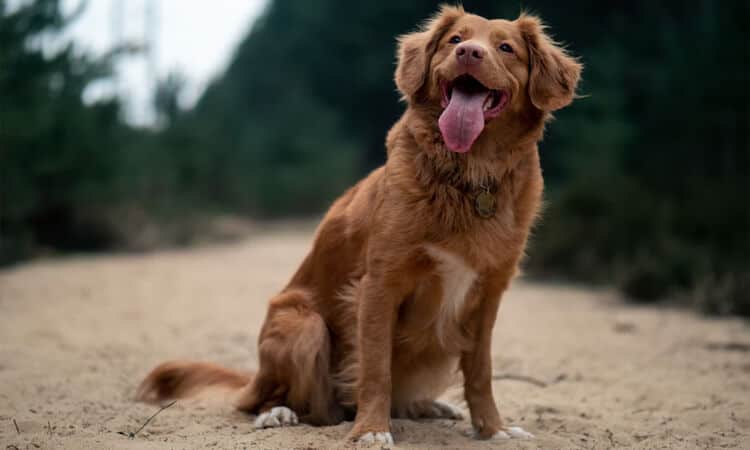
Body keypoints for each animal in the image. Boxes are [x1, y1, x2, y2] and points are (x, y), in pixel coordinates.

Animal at [137, 5, 580, 444]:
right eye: (456, 40)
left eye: (505, 48)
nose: (469, 53)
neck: (469, 174)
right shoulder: (379, 285)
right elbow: (376, 368)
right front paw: (371, 430)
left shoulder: (488, 294)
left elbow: (481, 371)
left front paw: (493, 428)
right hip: (304, 325)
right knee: (291, 405)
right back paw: (279, 413)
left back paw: (431, 407)